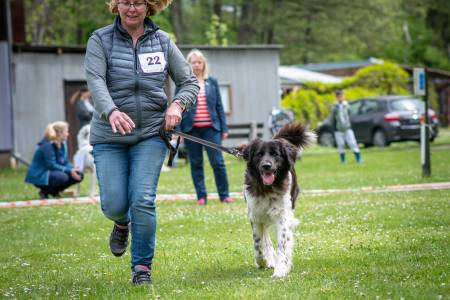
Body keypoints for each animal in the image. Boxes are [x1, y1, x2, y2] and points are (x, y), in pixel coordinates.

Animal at [243, 122, 312, 276]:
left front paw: (280, 269)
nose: (266, 166)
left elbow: (282, 243)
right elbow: (258, 244)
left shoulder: (282, 215)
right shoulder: (255, 215)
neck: (267, 188)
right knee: (265, 236)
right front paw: (264, 261)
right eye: (259, 154)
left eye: (275, 154)